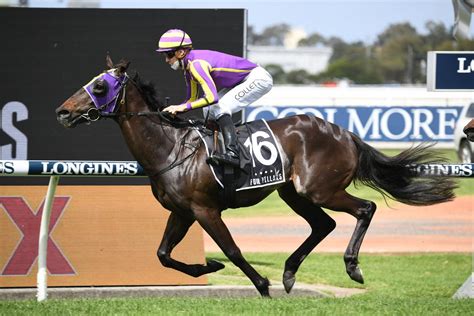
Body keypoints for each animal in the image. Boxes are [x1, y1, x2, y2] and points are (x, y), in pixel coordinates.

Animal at [55, 57, 456, 298]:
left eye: (101, 86)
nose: (63, 112)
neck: (170, 147)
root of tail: (344, 133)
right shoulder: (182, 211)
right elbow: (163, 254)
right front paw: (208, 266)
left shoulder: (204, 209)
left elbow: (232, 249)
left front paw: (260, 284)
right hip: (294, 193)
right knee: (323, 225)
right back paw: (290, 273)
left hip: (319, 189)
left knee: (365, 208)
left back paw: (352, 267)